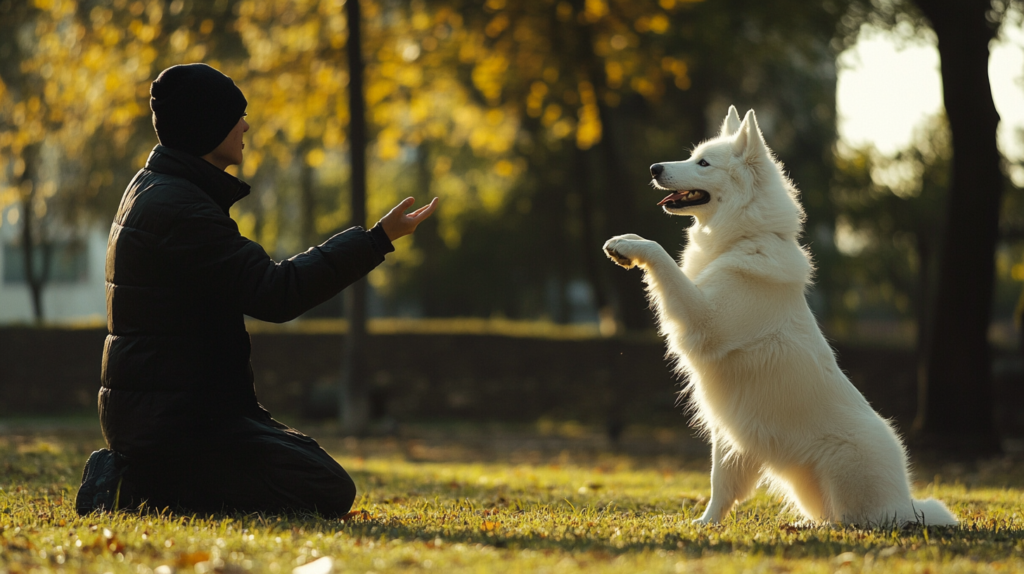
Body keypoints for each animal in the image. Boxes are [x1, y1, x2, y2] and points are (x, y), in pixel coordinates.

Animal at [602, 107, 954, 527]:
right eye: (691, 156)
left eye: (703, 163)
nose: (654, 168)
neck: (744, 237)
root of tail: (905, 503)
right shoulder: (727, 436)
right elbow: (721, 489)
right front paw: (705, 526)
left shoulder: (705, 320)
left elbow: (662, 258)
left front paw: (633, 246)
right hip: (769, 462)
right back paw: (783, 523)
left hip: (837, 467)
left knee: (851, 520)